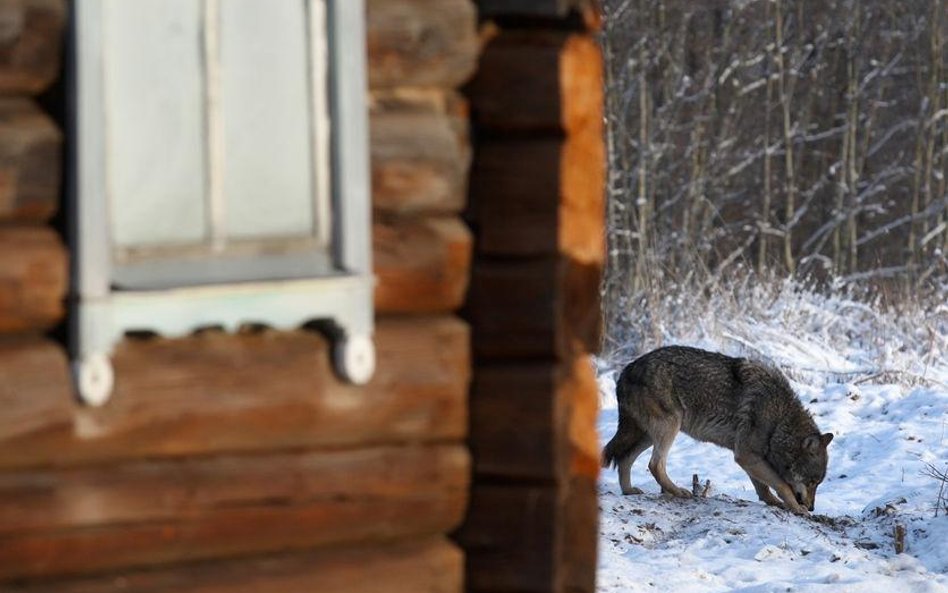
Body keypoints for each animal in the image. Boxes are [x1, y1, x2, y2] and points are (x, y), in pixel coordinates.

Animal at [604, 344, 832, 516]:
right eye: (812, 482)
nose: (812, 508)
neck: (779, 420)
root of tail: (626, 370)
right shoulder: (747, 455)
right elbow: (782, 485)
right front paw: (796, 508)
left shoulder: (749, 458)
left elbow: (764, 488)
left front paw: (775, 503)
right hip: (669, 427)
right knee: (654, 464)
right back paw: (678, 491)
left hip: (647, 435)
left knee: (624, 459)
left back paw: (629, 491)